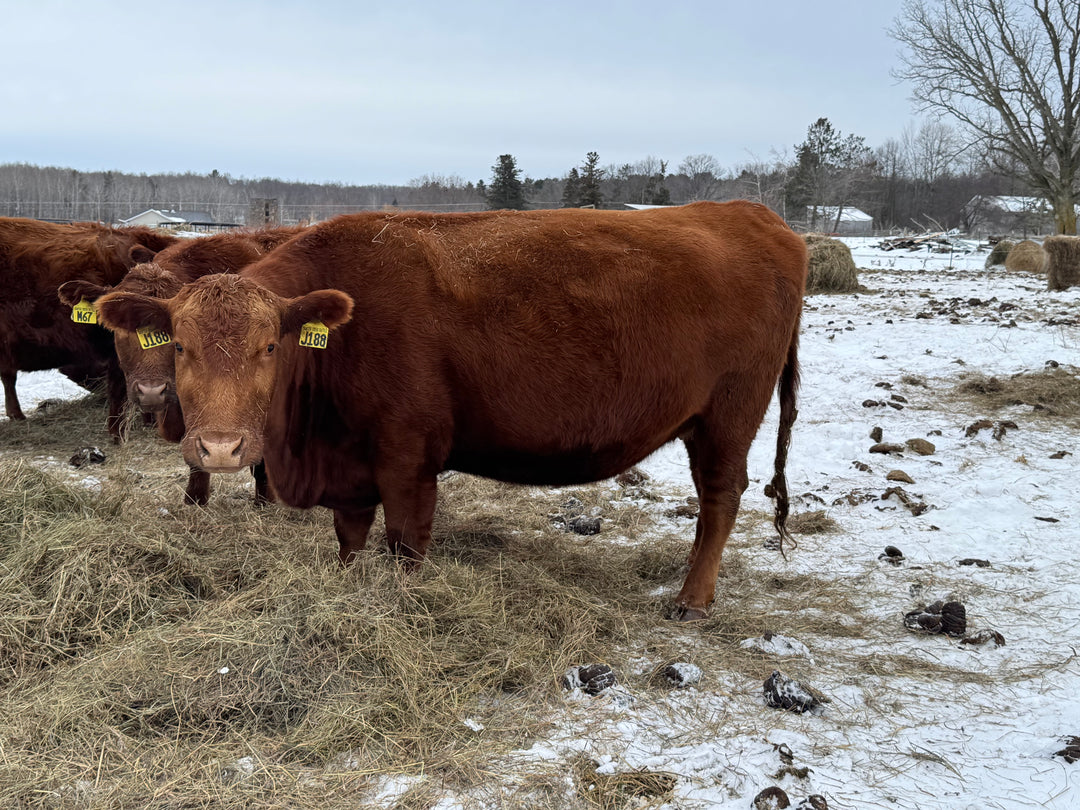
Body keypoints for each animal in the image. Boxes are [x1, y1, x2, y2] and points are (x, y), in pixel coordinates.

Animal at [95, 201, 807, 620]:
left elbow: (406, 543)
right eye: (179, 345)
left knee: (720, 498)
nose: (219, 448)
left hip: (727, 417)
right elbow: (351, 538)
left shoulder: (408, 459)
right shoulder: (352, 465)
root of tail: (753, 214)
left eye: (271, 346)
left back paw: (692, 599)